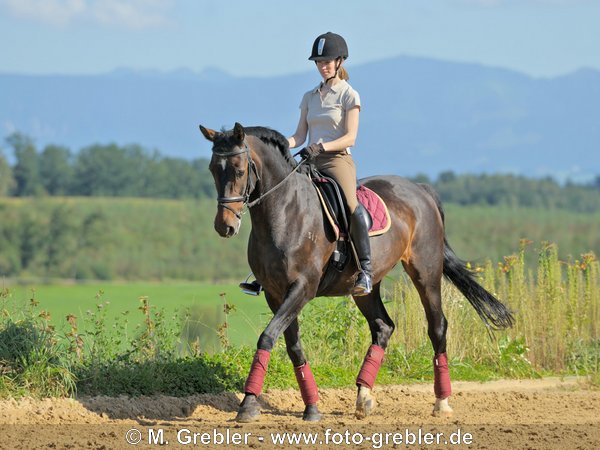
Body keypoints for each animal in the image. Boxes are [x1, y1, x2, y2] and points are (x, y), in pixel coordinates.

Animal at [199, 122, 512, 422]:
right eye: (213, 169)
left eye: (239, 170)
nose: (224, 226)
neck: (285, 212)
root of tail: (420, 189)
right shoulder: (275, 294)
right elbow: (292, 346)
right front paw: (311, 408)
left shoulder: (302, 288)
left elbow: (267, 337)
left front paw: (248, 404)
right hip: (366, 287)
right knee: (383, 326)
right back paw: (364, 397)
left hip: (426, 271)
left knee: (437, 327)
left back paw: (441, 402)